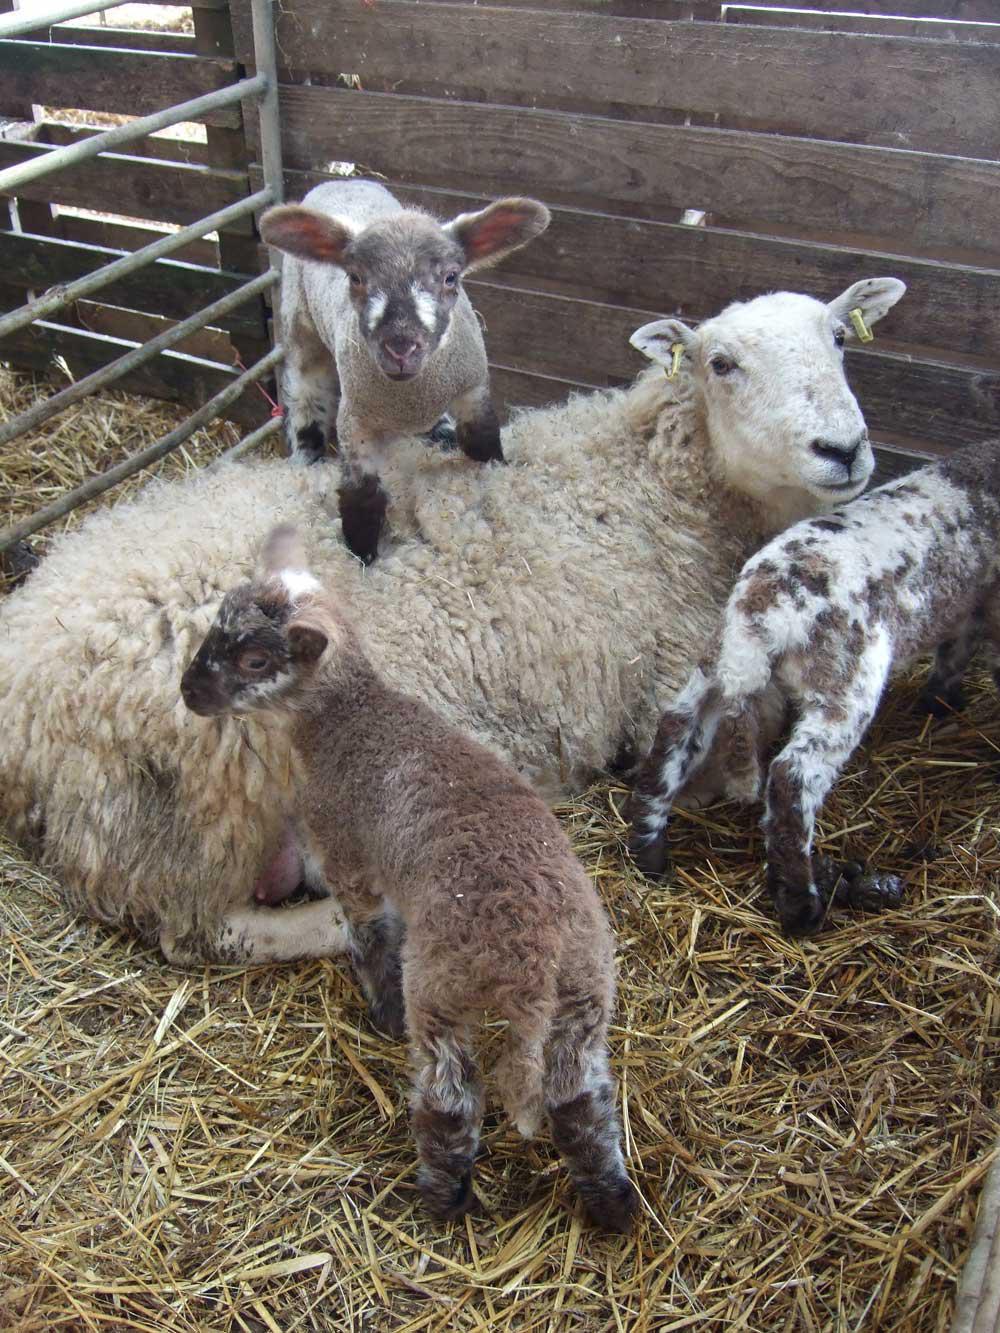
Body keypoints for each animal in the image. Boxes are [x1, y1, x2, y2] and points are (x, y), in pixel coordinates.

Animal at [0, 275, 906, 965]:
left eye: (840, 339)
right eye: (722, 363)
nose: (843, 448)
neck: (651, 490)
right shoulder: (673, 696)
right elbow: (742, 778)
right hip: (200, 798)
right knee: (206, 928)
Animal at [182, 525, 634, 1231]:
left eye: (255, 661)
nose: (187, 692)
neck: (350, 718)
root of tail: (531, 966)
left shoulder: (347, 853)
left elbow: (368, 932)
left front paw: (381, 1010)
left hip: (445, 988)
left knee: (452, 1096)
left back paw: (442, 1199)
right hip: (583, 997)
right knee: (578, 1102)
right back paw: (613, 1206)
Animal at [258, 181, 552, 562]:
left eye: (451, 277)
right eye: (355, 277)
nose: (400, 347)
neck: (409, 398)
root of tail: (340, 182)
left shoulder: (473, 392)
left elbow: (485, 445)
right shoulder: (355, 423)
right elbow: (361, 498)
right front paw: (363, 557)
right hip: (301, 329)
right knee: (306, 399)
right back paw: (306, 455)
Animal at [626, 437, 1000, 938]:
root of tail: (761, 612)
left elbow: (956, 646)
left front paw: (939, 702)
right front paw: (945, 703)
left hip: (716, 663)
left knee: (674, 732)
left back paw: (648, 853)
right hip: (843, 680)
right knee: (792, 778)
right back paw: (802, 906)